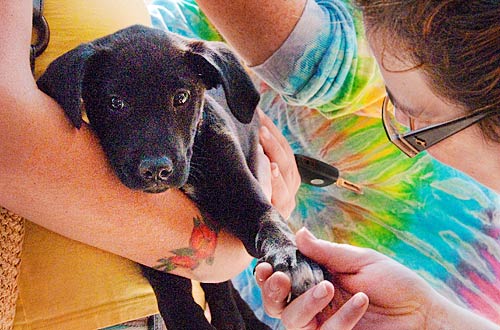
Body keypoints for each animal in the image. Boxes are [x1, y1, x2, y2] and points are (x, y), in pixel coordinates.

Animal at [37, 26, 322, 330]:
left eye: (181, 98)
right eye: (115, 103)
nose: (156, 170)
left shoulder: (244, 195)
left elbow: (270, 222)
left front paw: (292, 259)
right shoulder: (143, 234)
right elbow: (169, 280)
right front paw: (190, 318)